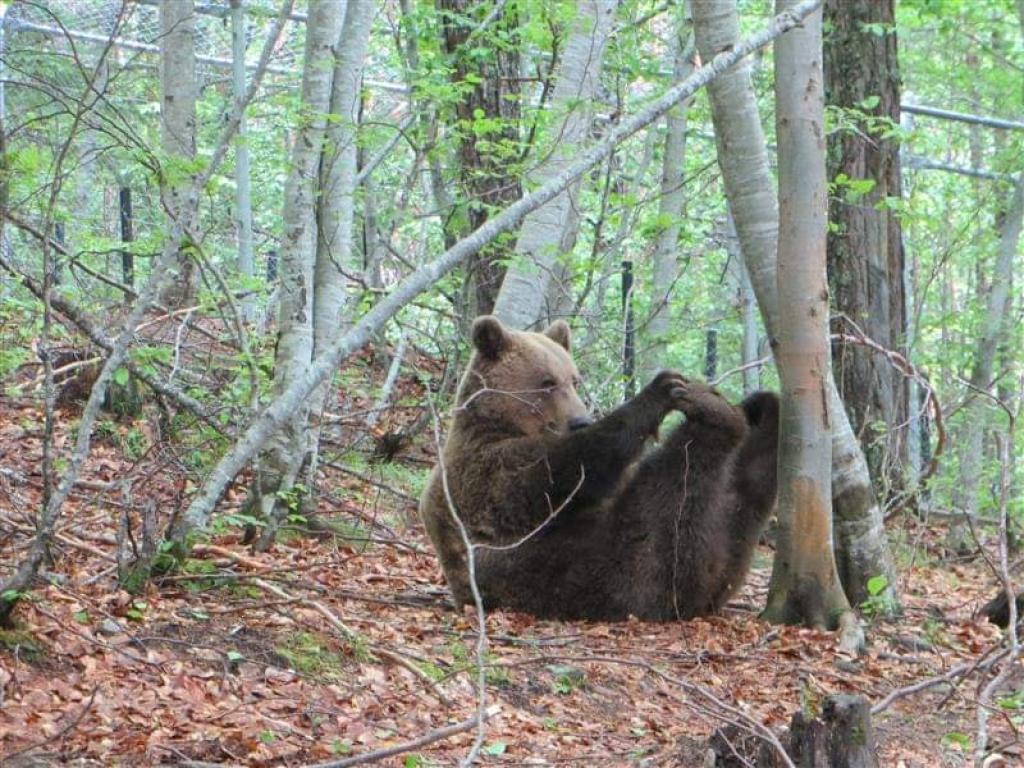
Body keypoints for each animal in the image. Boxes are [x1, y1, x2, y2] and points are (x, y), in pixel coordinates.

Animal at [415, 315, 774, 622]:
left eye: (574, 379)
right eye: (547, 382)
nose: (580, 419)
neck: (502, 424)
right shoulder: (486, 474)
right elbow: (565, 471)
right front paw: (660, 389)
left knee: (745, 503)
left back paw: (761, 407)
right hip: (612, 568)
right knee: (675, 499)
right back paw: (717, 413)